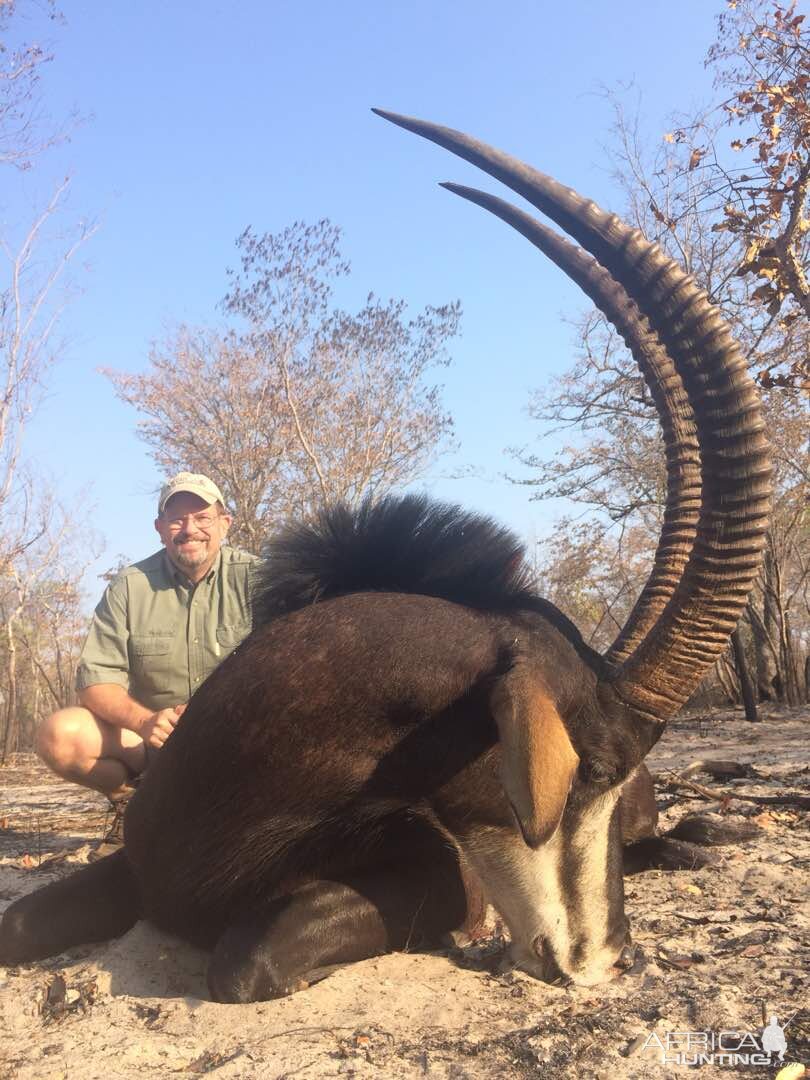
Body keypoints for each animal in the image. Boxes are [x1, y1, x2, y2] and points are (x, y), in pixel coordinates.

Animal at [1, 113, 773, 997]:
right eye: (595, 765)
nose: (607, 956)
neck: (239, 783)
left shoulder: (433, 887)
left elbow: (247, 958)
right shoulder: (139, 874)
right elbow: (18, 924)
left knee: (660, 837)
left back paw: (715, 837)